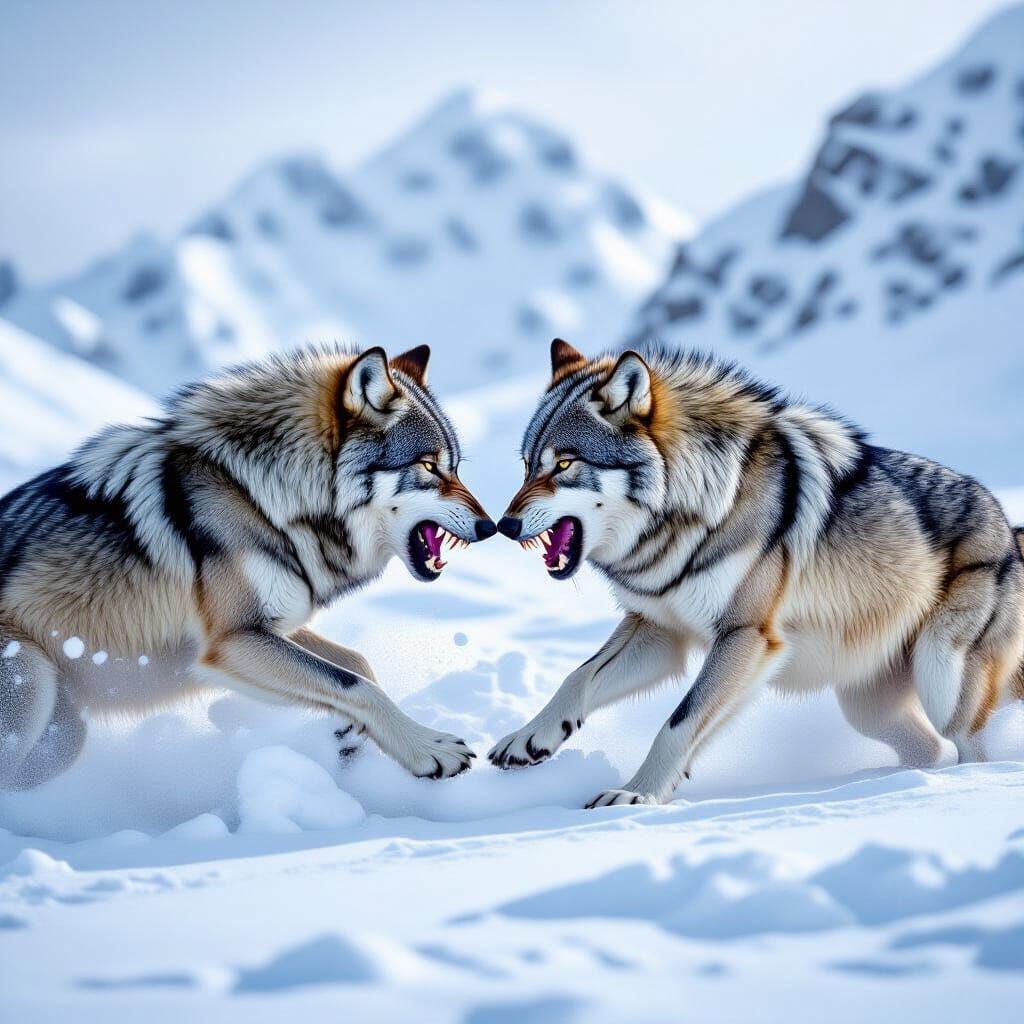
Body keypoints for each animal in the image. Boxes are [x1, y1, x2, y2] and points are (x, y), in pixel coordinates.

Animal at [0, 344, 497, 789]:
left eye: (455, 467)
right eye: (429, 466)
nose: (491, 526)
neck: (257, 497)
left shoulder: (275, 623)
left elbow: (358, 664)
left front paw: (352, 737)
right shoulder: (232, 641)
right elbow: (355, 684)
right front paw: (425, 749)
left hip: (60, 722)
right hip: (32, 681)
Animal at [489, 339, 1024, 807]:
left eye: (564, 464)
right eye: (527, 465)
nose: (504, 526)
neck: (702, 507)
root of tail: (1008, 527)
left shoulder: (746, 637)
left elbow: (677, 724)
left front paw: (638, 795)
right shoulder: (658, 630)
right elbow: (577, 678)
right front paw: (529, 738)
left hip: (942, 680)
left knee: (969, 751)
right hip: (868, 709)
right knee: (928, 748)